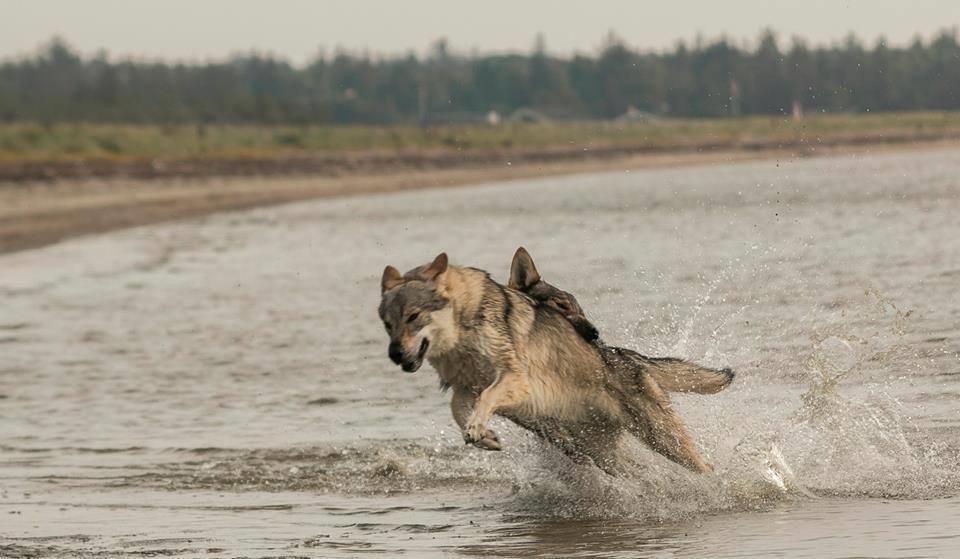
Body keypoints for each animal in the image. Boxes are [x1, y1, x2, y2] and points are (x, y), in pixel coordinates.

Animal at [376, 254, 728, 476]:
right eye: (388, 324)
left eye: (414, 317)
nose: (395, 354)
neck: (461, 335)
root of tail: (624, 354)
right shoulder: (464, 389)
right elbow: (458, 411)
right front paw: (482, 434)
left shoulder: (513, 378)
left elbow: (486, 399)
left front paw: (478, 429)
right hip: (602, 455)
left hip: (660, 439)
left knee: (704, 467)